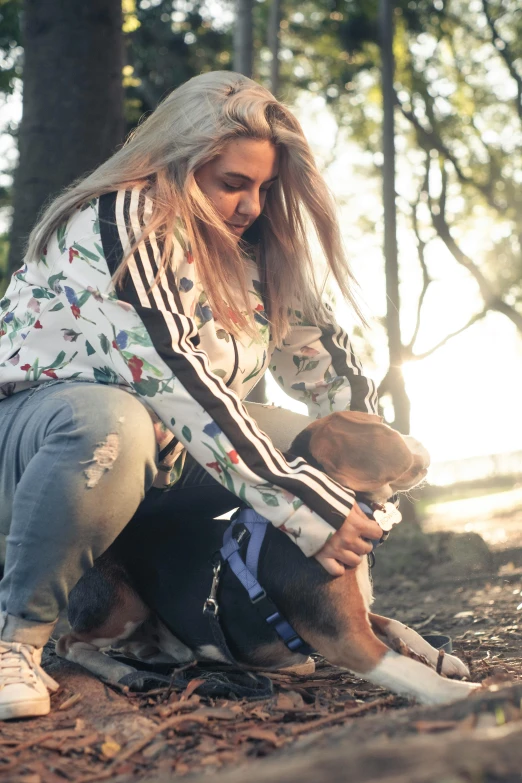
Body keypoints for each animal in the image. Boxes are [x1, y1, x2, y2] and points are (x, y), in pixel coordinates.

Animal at [55, 414, 476, 708]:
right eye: (379, 425)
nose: (417, 438)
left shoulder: (352, 614)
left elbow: (402, 627)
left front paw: (445, 660)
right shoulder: (343, 636)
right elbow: (403, 668)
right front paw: (462, 691)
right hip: (123, 606)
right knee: (69, 643)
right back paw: (122, 671)